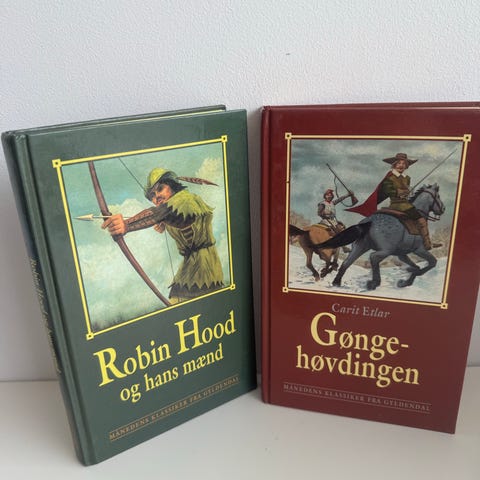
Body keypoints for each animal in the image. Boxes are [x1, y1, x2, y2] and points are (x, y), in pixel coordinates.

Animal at [314, 184, 445, 290]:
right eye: (438, 196)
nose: (443, 209)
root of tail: (369, 222)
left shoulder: (402, 254)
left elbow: (416, 266)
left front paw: (406, 279)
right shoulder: (419, 250)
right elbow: (432, 263)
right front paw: (407, 281)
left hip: (360, 247)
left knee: (347, 262)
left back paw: (336, 282)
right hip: (386, 250)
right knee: (373, 257)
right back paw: (374, 283)